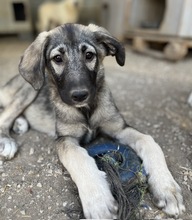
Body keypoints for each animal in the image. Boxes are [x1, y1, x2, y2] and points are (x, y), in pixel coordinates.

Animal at [0, 22, 185, 218]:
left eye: (89, 55)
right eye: (57, 58)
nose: (80, 95)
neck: (86, 111)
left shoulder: (119, 127)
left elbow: (149, 141)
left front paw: (167, 187)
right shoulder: (65, 139)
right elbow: (78, 157)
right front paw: (99, 201)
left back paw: (20, 124)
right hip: (30, 90)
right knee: (5, 115)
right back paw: (7, 141)